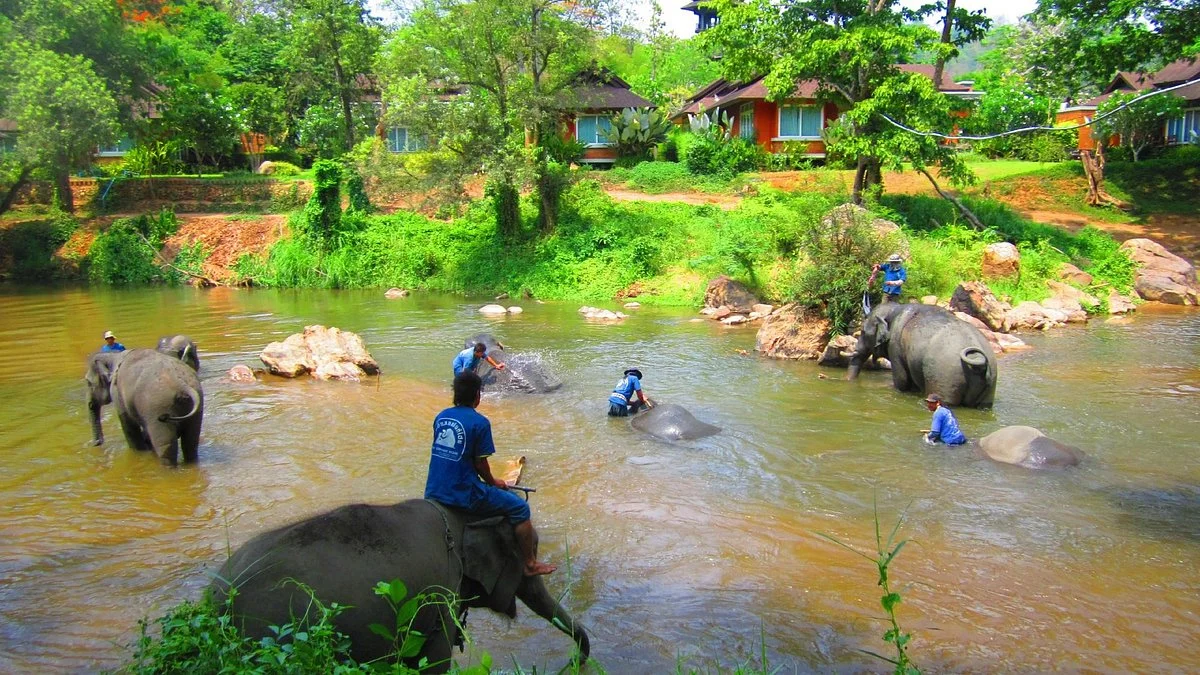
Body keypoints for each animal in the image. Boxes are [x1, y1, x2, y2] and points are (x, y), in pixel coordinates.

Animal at [210, 499, 590, 672]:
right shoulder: (439, 595)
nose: (573, 663)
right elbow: (434, 662)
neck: (461, 516)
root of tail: (216, 600)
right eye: (532, 552)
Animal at [848, 303, 997, 408]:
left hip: (945, 376)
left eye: (862, 332)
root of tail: (978, 360)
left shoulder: (895, 347)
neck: (894, 309)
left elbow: (902, 381)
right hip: (990, 383)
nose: (849, 381)